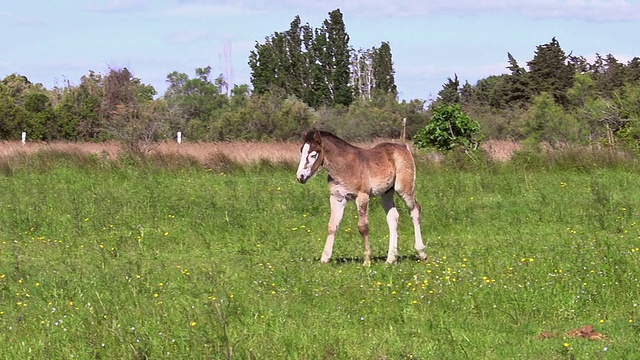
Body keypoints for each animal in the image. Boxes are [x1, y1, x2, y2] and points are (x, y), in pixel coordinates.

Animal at [296, 129, 428, 264]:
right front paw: (325, 258)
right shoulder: (337, 198)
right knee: (393, 217)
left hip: (403, 188)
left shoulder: (362, 196)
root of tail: (404, 147)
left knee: (415, 210)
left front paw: (367, 260)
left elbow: (363, 227)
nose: (300, 176)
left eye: (313, 154)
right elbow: (332, 225)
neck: (345, 166)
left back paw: (422, 252)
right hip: (386, 192)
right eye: (301, 151)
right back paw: (390, 258)